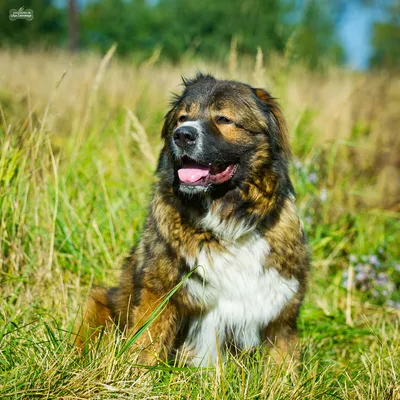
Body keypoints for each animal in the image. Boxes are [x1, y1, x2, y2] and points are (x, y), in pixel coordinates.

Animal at [78, 73, 310, 368]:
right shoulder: (159, 293)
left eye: (223, 118)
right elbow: (146, 344)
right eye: (182, 117)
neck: (226, 224)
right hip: (100, 302)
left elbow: (282, 360)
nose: (182, 134)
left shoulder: (280, 309)